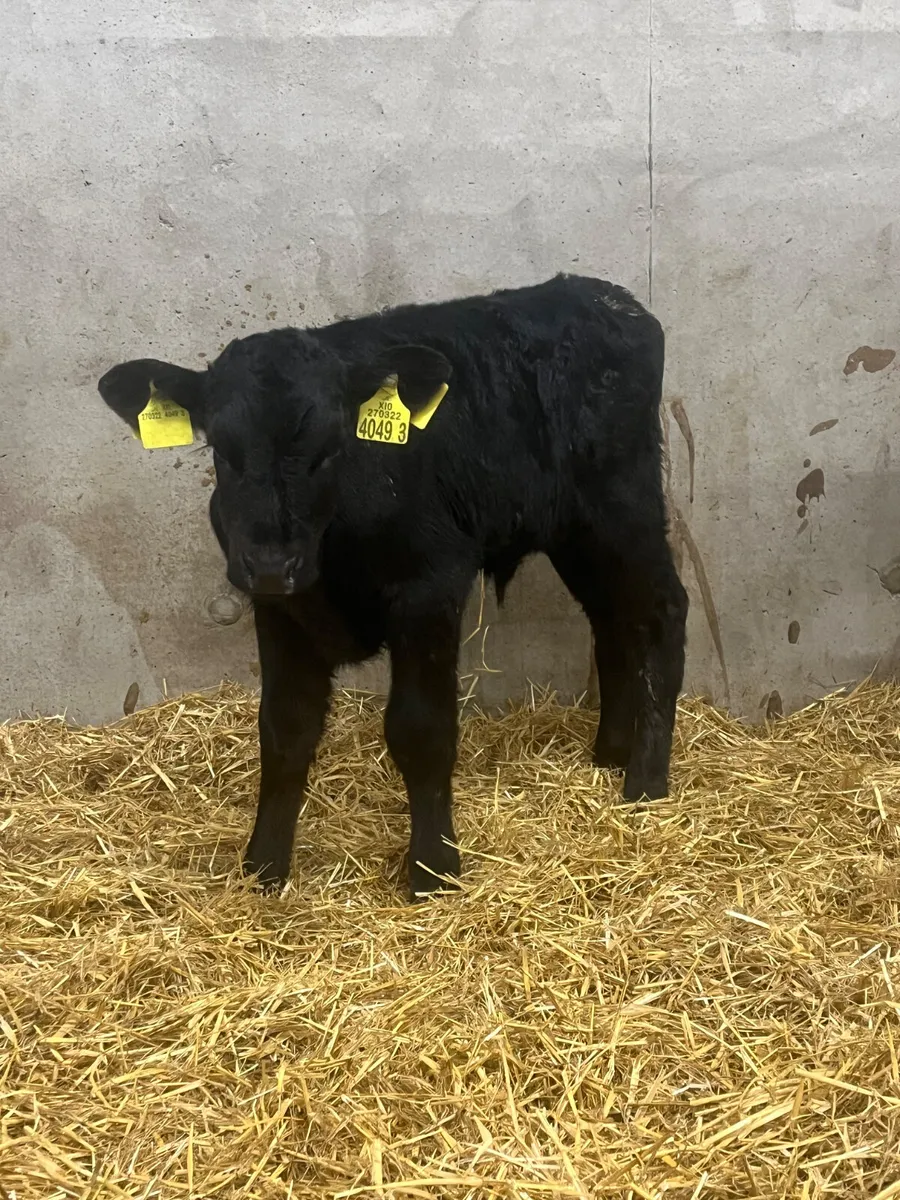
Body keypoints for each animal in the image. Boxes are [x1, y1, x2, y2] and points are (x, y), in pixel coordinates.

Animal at [97, 274, 688, 899]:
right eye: (223, 452)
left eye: (330, 448)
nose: (272, 562)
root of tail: (600, 295)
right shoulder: (279, 607)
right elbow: (284, 730)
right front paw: (264, 867)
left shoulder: (430, 587)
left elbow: (420, 729)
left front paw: (433, 868)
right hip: (576, 531)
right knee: (612, 619)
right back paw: (610, 755)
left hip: (623, 504)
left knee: (660, 610)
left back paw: (645, 784)